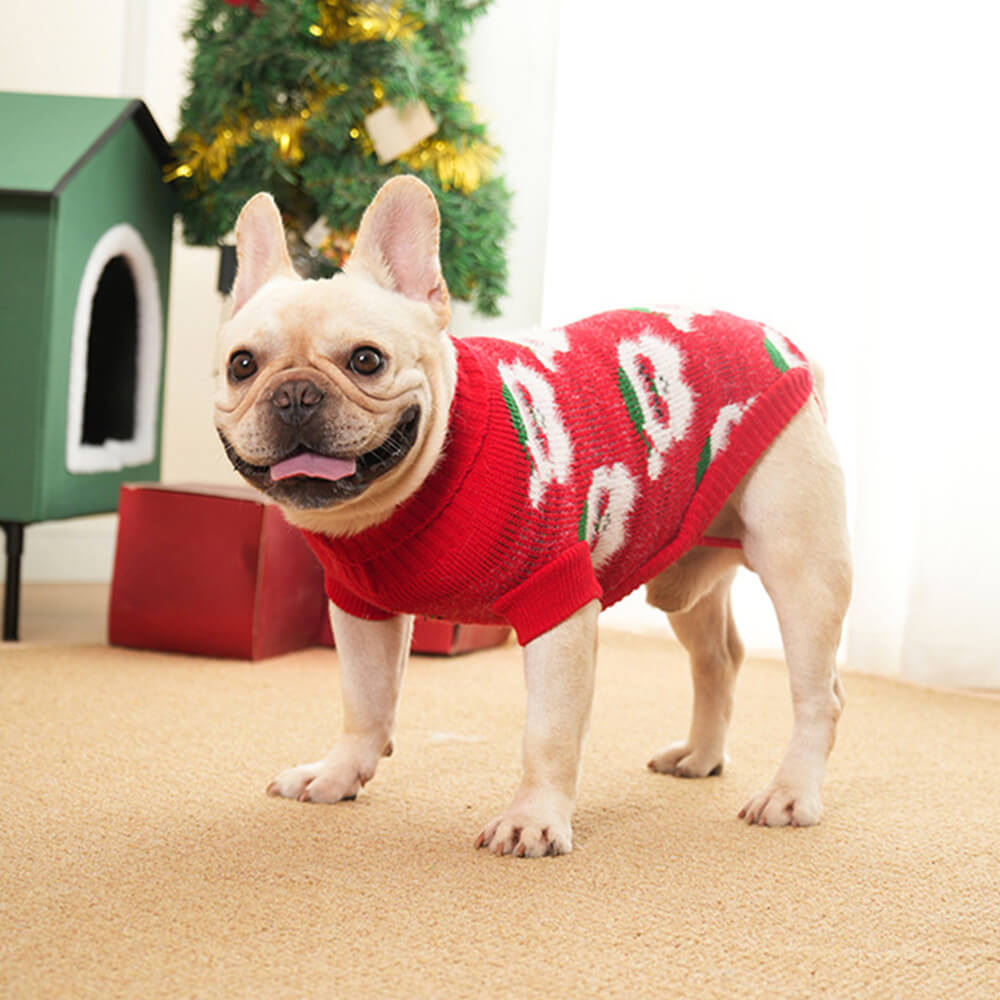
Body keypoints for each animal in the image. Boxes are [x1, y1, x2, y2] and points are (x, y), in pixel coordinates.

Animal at [213, 176, 852, 856]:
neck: (411, 493)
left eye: (366, 360)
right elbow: (364, 700)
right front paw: (337, 774)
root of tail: (783, 344)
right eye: (242, 366)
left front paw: (534, 818)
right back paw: (700, 756)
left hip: (802, 568)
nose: (295, 394)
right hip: (686, 574)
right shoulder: (360, 609)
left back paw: (790, 792)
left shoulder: (558, 601)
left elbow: (549, 730)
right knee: (719, 658)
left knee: (821, 694)